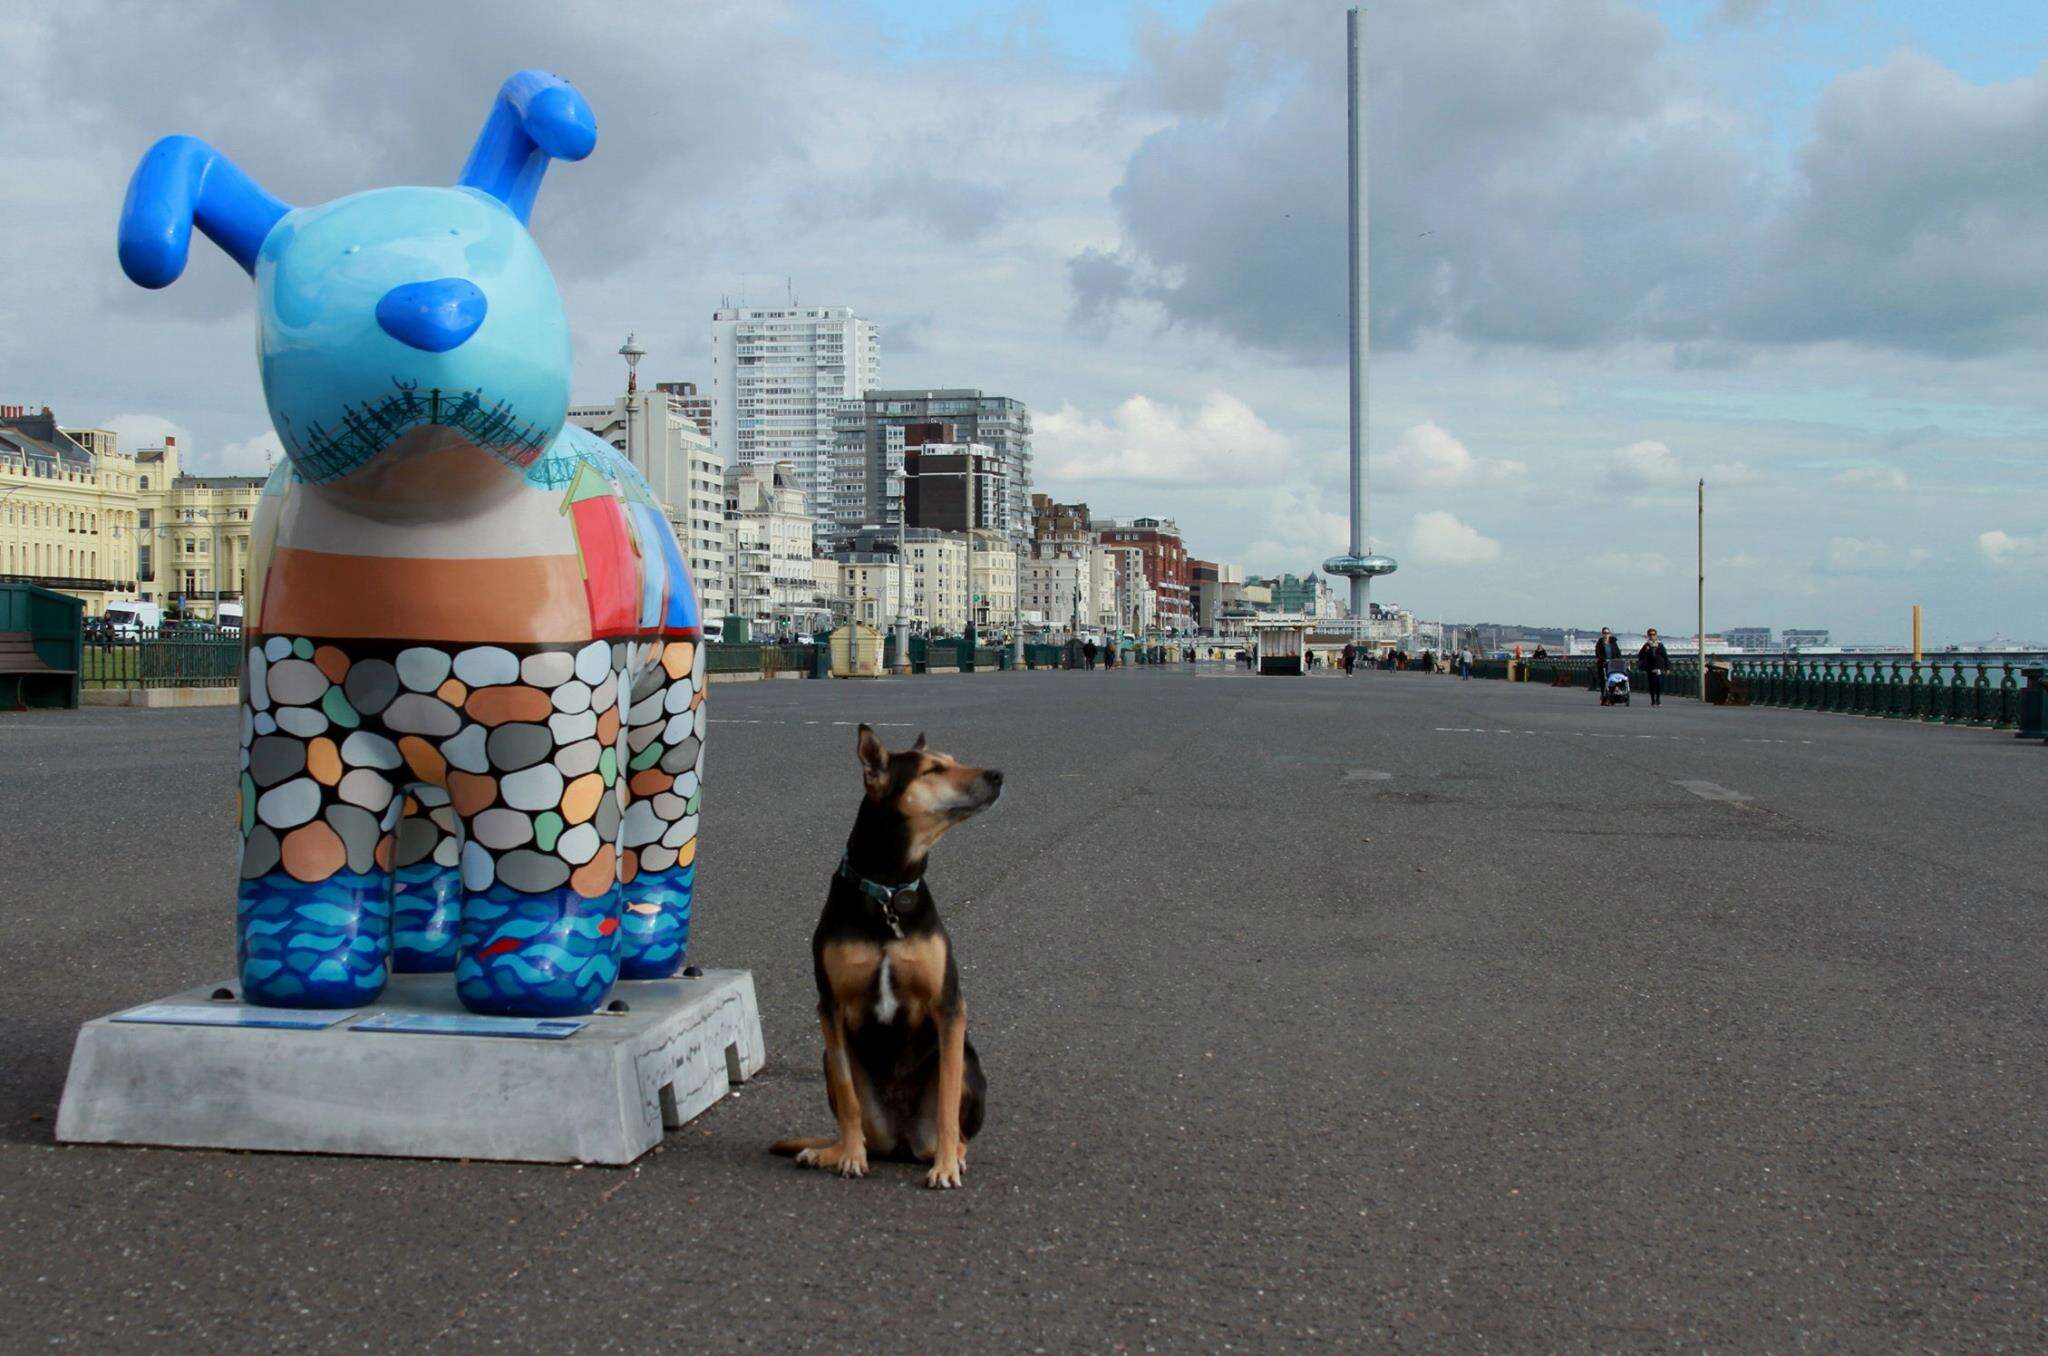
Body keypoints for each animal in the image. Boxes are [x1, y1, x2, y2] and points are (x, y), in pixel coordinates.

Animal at [770, 729, 1003, 1188]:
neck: (889, 890)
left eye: (953, 760)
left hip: (970, 1061)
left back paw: (953, 1154)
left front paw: (945, 1167)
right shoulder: (831, 1008)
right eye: (933, 769)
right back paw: (830, 1151)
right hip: (830, 1062)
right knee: (861, 1128)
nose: (998, 774)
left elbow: (947, 1099)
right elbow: (848, 1097)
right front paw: (848, 1158)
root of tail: (902, 1142)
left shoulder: (949, 1006)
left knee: (958, 1127)